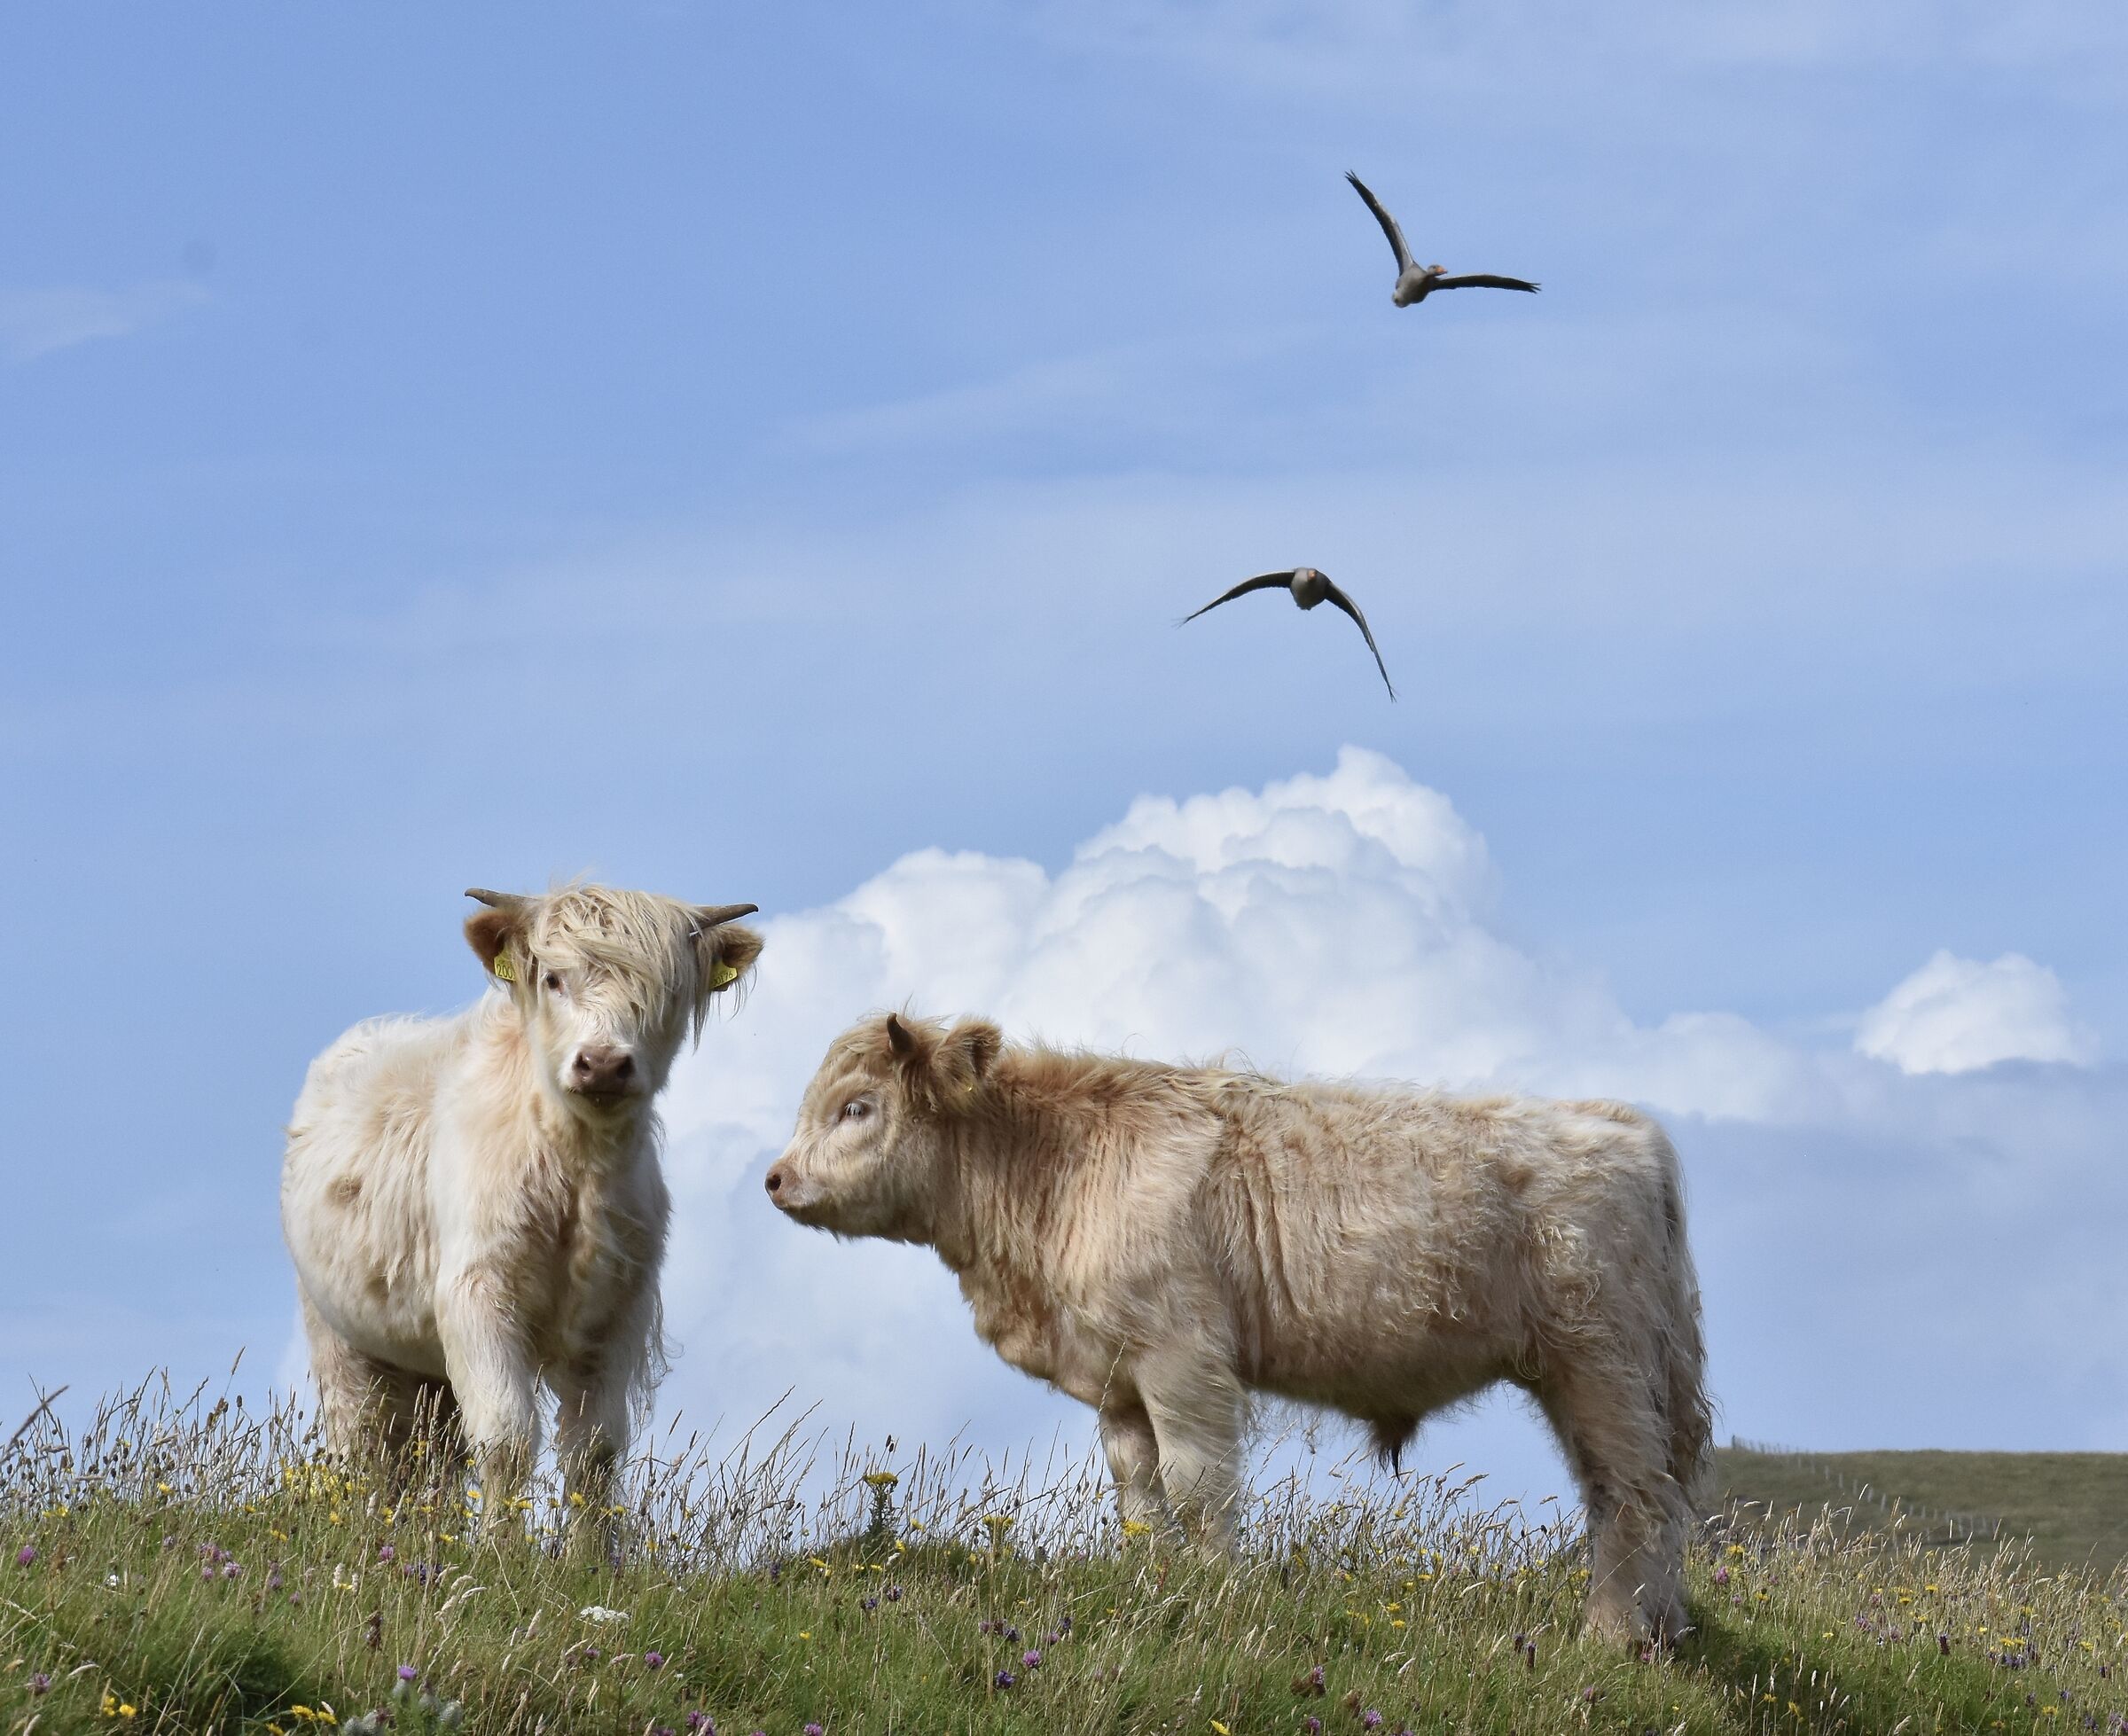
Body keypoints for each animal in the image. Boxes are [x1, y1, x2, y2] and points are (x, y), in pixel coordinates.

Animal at [282, 884, 762, 1541]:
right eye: (554, 979)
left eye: (666, 988)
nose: (603, 1064)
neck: (577, 1172)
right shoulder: (478, 1295)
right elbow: (506, 1437)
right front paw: (497, 1549)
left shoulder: (619, 1312)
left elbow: (595, 1451)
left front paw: (591, 1556)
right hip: (340, 1335)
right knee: (364, 1445)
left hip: (428, 1370)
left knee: (427, 1460)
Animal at [765, 1012, 1712, 1643]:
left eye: (857, 1107)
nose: (775, 1177)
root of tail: (1619, 1123)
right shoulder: (1119, 1380)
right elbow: (1138, 1497)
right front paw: (1154, 1586)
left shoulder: (1182, 1358)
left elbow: (1198, 1487)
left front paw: (1217, 1591)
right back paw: (1660, 1632)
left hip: (1604, 1365)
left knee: (1634, 1495)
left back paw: (1613, 1638)